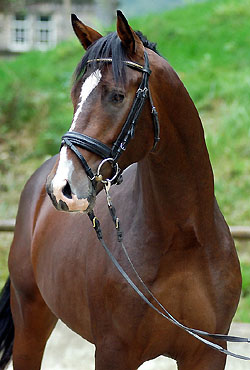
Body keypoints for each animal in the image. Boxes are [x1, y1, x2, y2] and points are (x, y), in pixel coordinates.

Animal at [0, 10, 245, 368]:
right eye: (75, 97)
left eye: (116, 96)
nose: (61, 188)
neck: (184, 237)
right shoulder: (114, 352)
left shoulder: (207, 353)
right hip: (30, 319)